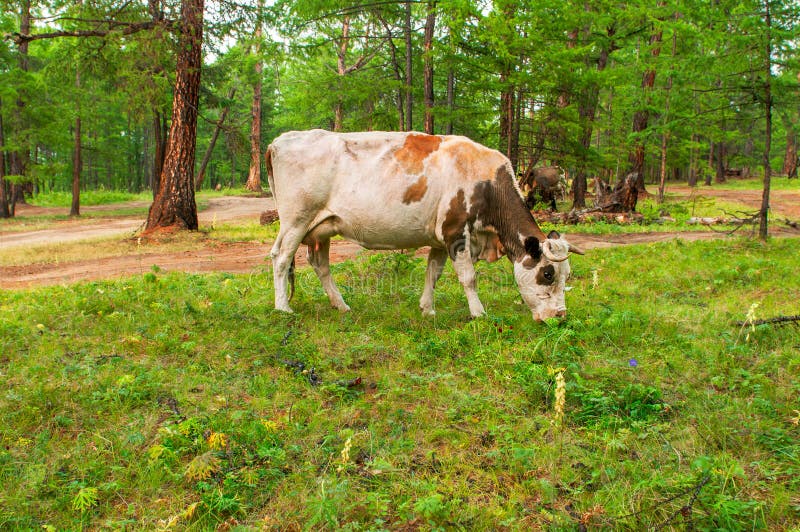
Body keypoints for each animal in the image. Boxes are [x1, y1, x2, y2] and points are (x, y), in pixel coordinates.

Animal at [266, 130, 583, 321]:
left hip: (322, 227)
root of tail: (280, 141)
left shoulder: (440, 238)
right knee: (280, 258)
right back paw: (283, 307)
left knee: (320, 264)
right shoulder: (456, 232)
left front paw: (427, 309)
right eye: (547, 273)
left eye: (566, 275)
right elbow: (468, 277)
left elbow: (433, 273)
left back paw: (340, 305)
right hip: (296, 219)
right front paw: (478, 313)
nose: (560, 315)